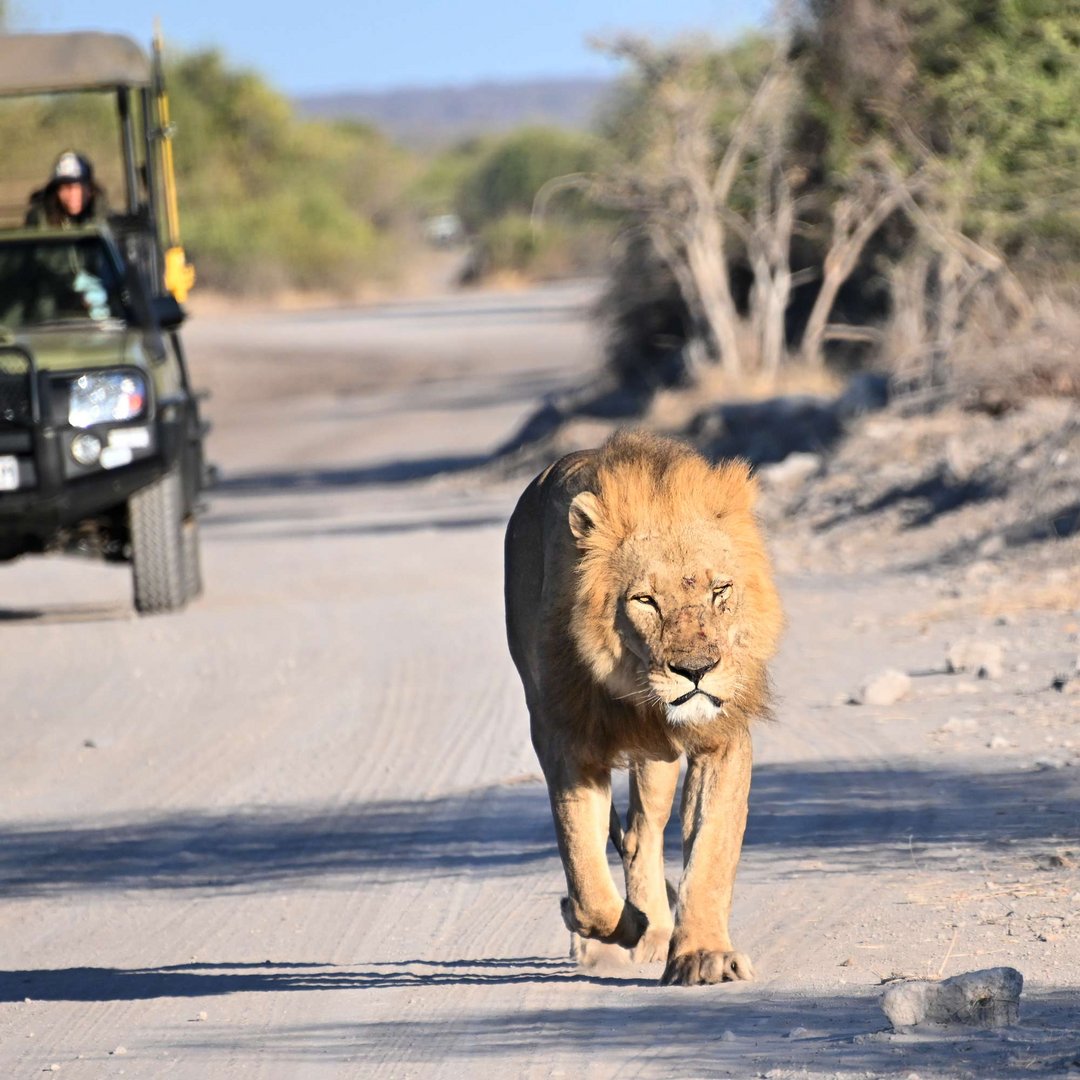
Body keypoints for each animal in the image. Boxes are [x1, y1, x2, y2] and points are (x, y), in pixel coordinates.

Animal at [501, 427, 781, 989]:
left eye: (720, 590)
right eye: (645, 600)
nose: (696, 671)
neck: (634, 691)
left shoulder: (719, 739)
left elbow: (712, 850)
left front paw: (703, 956)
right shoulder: (566, 745)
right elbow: (586, 878)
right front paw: (616, 923)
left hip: (659, 759)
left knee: (641, 833)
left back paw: (656, 932)